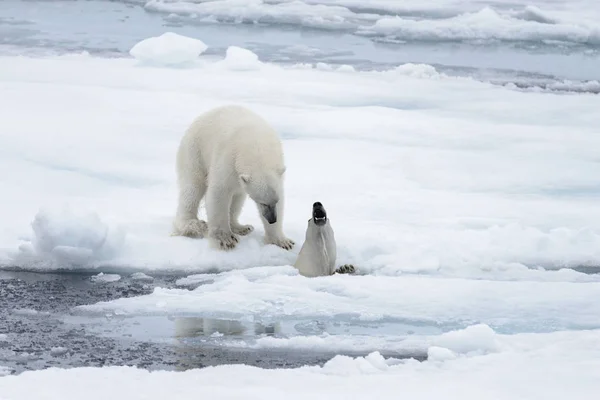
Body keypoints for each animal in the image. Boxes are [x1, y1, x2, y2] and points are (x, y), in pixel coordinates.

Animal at [172, 104, 294, 252]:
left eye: (275, 202)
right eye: (261, 202)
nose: (272, 219)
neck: (256, 146)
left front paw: (283, 242)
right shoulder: (227, 158)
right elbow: (219, 192)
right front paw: (226, 240)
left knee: (238, 197)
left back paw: (241, 227)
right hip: (194, 152)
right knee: (192, 188)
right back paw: (192, 225)